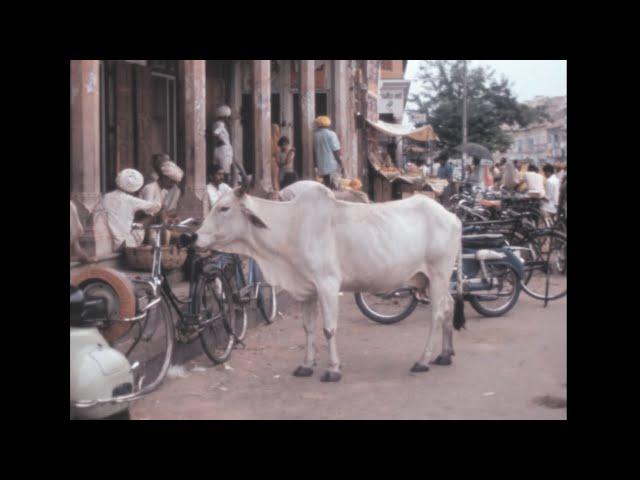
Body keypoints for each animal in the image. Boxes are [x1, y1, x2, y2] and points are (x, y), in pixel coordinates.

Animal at [192, 180, 462, 382]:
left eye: (224, 208)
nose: (194, 237)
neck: (292, 226)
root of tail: (452, 217)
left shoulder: (328, 285)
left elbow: (328, 329)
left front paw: (333, 369)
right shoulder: (307, 289)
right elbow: (308, 328)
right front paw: (306, 365)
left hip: (438, 275)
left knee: (437, 313)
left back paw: (423, 360)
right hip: (429, 279)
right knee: (449, 305)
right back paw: (445, 355)